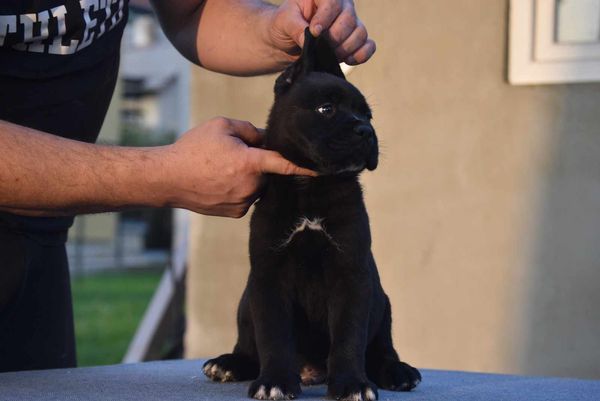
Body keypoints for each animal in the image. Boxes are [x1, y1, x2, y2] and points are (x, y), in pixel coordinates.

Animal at [204, 28, 420, 400]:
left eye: (368, 116)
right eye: (326, 108)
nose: (366, 132)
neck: (311, 186)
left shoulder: (351, 275)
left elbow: (348, 337)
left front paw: (351, 384)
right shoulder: (268, 277)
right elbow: (274, 335)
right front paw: (275, 381)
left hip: (382, 304)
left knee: (381, 349)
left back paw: (397, 371)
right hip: (246, 301)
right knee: (249, 344)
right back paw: (230, 363)